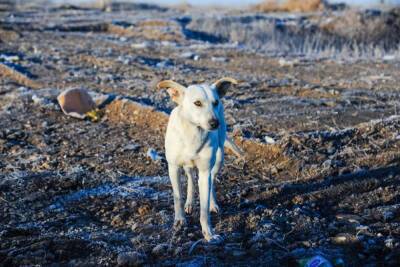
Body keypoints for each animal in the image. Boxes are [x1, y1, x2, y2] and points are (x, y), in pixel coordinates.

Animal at [157, 77, 239, 243]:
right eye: (197, 103)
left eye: (215, 102)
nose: (215, 123)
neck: (193, 133)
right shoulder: (173, 168)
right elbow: (178, 197)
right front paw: (180, 220)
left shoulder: (205, 171)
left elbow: (204, 207)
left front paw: (209, 233)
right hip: (187, 166)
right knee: (190, 177)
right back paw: (189, 203)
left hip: (219, 159)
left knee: (212, 180)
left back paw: (213, 204)